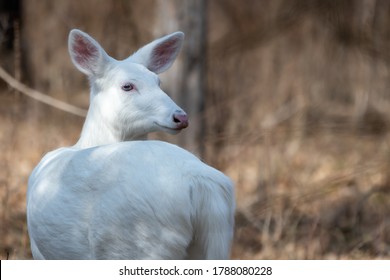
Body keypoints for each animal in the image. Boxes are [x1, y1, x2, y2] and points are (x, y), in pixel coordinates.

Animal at [26, 29, 235, 260]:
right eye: (127, 86)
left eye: (158, 82)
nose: (181, 117)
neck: (84, 144)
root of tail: (200, 183)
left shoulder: (39, 251)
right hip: (214, 242)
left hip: (135, 241)